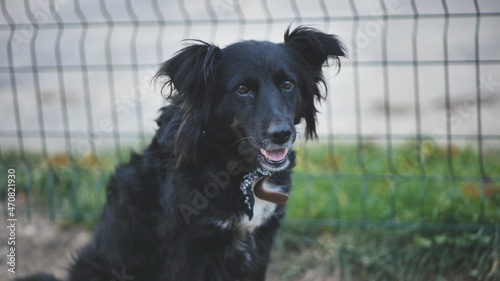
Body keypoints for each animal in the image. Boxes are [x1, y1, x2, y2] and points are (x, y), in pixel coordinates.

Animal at [22, 26, 344, 280]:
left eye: (288, 84)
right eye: (242, 89)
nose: (281, 134)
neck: (235, 168)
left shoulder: (261, 242)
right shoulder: (188, 248)